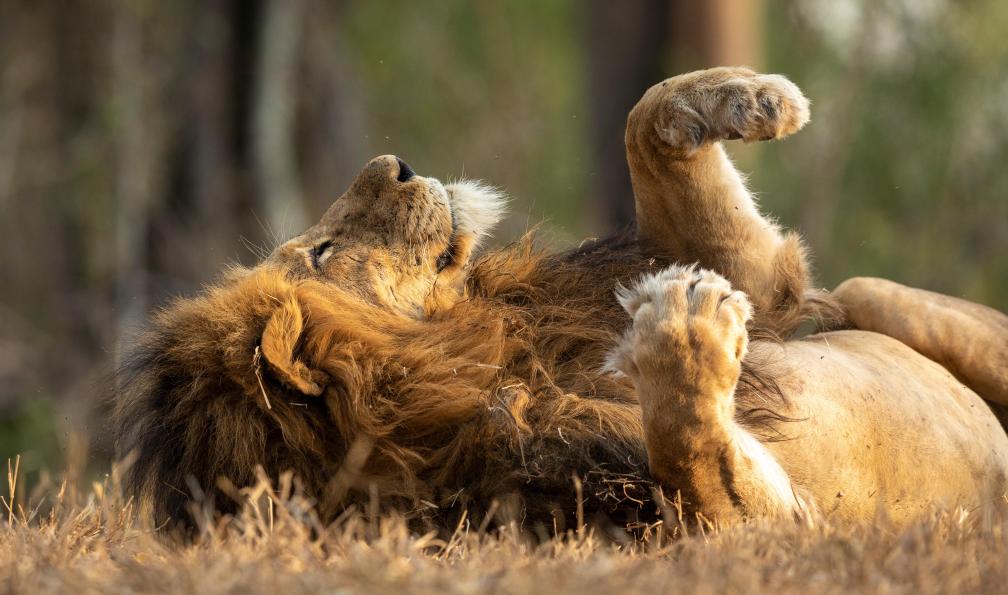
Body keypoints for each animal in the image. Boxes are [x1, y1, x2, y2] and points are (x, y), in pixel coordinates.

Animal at [115, 67, 1008, 533]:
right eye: (322, 253)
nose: (396, 163)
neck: (498, 353)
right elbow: (693, 452)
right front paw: (683, 330)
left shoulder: (752, 277)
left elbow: (644, 116)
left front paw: (745, 98)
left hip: (878, 296)